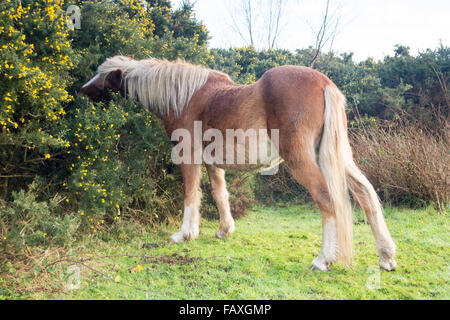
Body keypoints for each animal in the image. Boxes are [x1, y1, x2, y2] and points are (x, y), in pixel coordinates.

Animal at [79, 55, 396, 270]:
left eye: (103, 76)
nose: (81, 90)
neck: (184, 96)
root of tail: (325, 83)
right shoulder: (212, 163)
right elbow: (220, 194)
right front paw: (224, 230)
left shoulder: (187, 155)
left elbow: (190, 195)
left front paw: (185, 234)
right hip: (335, 156)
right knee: (366, 195)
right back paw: (386, 256)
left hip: (303, 159)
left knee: (327, 200)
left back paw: (323, 259)